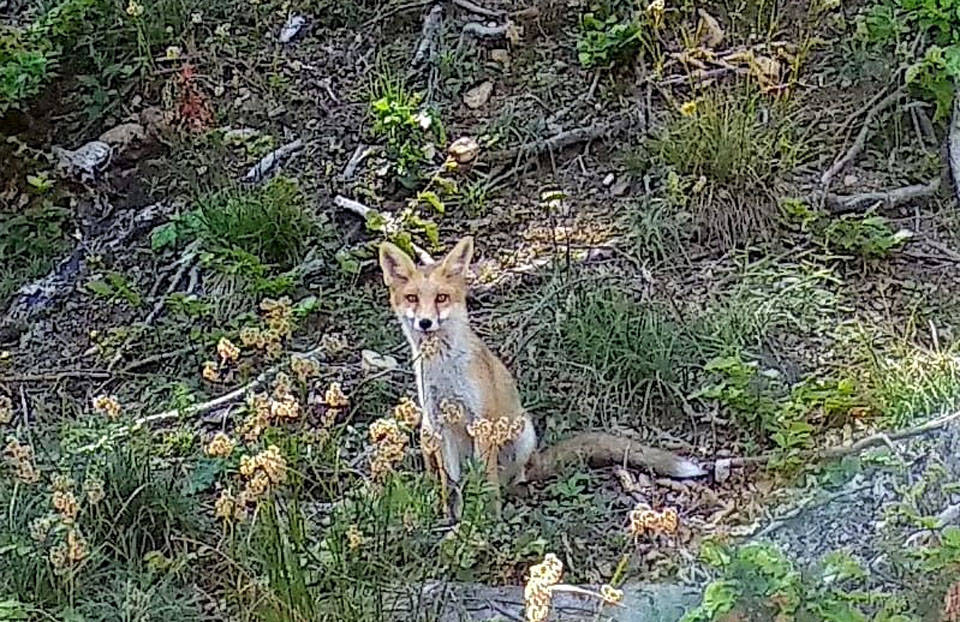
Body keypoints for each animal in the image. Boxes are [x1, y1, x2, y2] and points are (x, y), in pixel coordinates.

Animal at [378, 236, 700, 520]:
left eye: (441, 298)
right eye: (412, 298)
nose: (425, 322)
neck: (445, 370)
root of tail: (532, 460)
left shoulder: (482, 423)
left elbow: (488, 483)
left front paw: (486, 522)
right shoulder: (439, 425)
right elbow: (450, 485)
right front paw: (453, 521)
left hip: (520, 433)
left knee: (509, 479)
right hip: (426, 434)